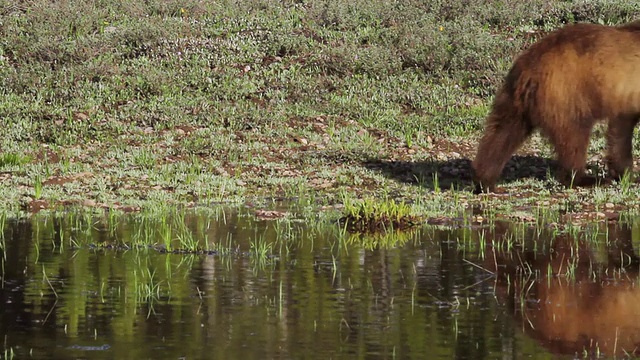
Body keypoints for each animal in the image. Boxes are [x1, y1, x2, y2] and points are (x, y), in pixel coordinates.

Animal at [472, 19, 640, 193]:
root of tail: (530, 67)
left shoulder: (624, 100)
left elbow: (620, 130)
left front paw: (624, 174)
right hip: (566, 97)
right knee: (573, 138)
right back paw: (585, 179)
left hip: (514, 100)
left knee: (500, 134)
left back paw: (484, 181)